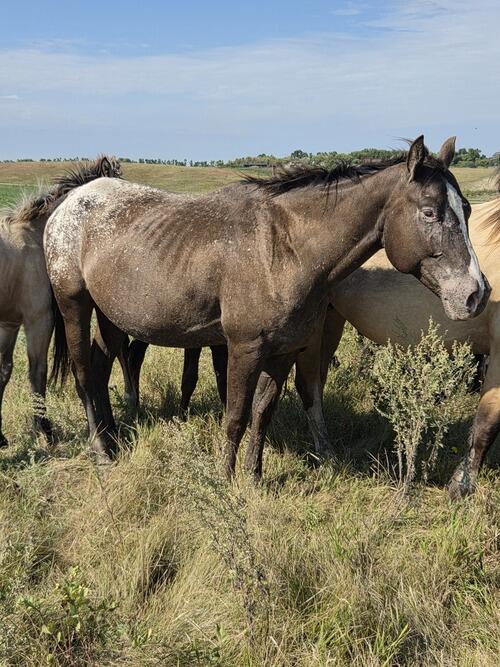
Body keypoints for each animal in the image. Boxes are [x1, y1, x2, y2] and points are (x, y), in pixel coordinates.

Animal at [44, 136, 489, 479]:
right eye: (430, 213)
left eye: (466, 209)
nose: (476, 294)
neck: (283, 249)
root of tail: (73, 199)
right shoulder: (244, 349)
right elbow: (236, 416)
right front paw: (226, 481)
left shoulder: (283, 352)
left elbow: (262, 412)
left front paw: (255, 478)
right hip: (74, 305)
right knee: (84, 373)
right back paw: (101, 452)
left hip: (112, 316)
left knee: (101, 366)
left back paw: (115, 436)